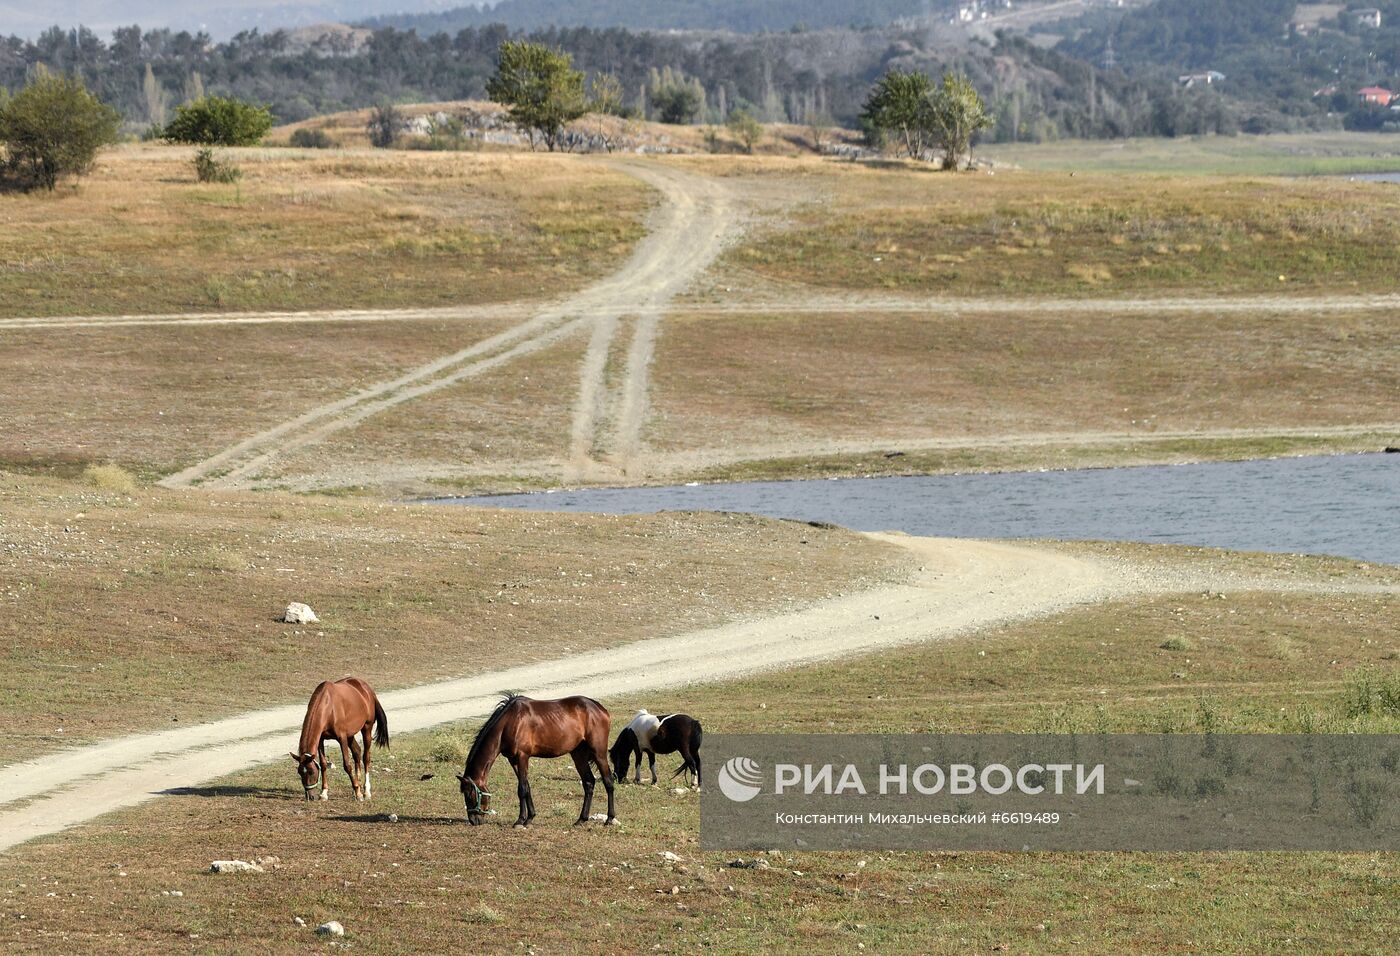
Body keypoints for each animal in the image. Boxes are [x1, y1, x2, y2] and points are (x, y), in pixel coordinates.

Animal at [289, 677, 389, 806]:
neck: (328, 707)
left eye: (311, 772)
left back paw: (366, 791)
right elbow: (323, 764)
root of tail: (367, 689)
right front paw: (324, 793)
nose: (309, 796)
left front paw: (358, 794)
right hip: (350, 735)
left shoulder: (342, 738)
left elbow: (347, 765)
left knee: (366, 757)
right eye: (300, 772)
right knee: (357, 752)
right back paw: (357, 785)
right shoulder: (321, 739)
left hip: (367, 728)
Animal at [456, 694, 616, 828]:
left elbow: (521, 789)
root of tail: (601, 709)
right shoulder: (513, 760)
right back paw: (581, 820)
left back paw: (609, 819)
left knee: (608, 781)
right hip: (578, 754)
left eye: (469, 794)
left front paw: (520, 820)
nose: (474, 820)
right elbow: (526, 787)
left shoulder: (522, 757)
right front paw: (530, 818)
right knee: (589, 782)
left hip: (599, 753)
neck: (509, 722)